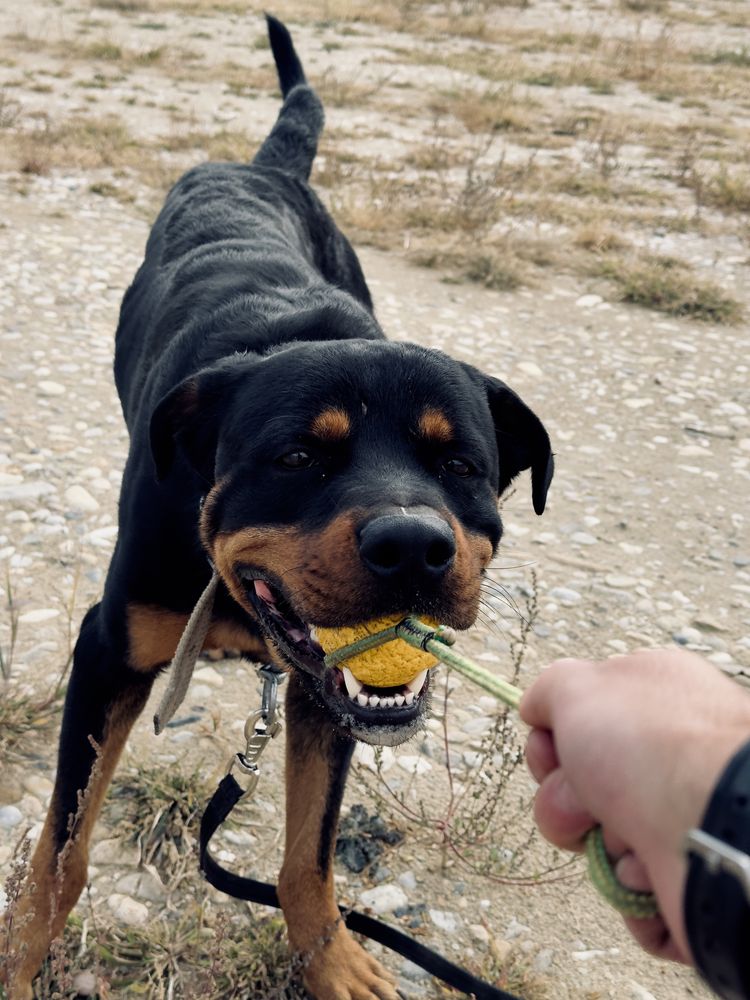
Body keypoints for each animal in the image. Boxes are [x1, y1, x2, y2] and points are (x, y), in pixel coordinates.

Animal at [7, 17, 552, 1000]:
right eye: (297, 458)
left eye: (461, 464)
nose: (414, 547)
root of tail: (257, 168)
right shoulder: (105, 655)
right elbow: (61, 856)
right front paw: (19, 959)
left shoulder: (322, 698)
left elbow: (310, 855)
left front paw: (329, 957)